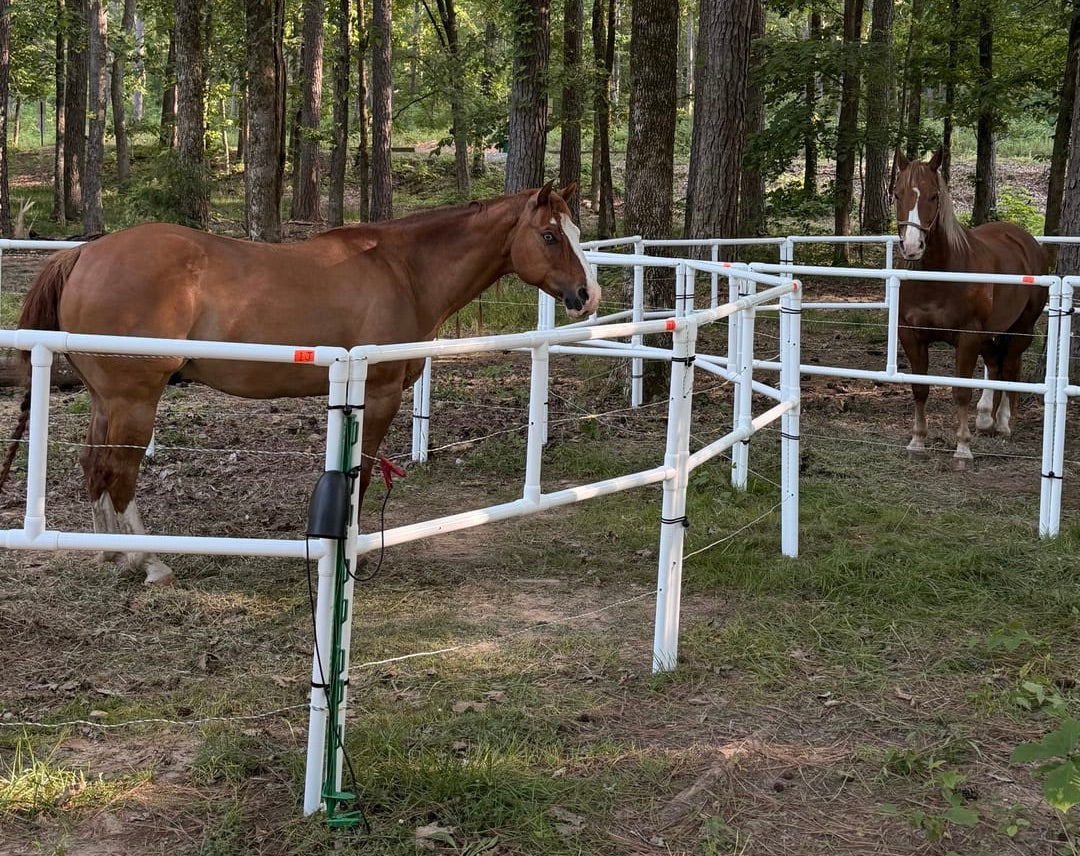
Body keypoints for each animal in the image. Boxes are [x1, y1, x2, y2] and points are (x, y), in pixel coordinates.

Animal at [0, 182, 600, 584]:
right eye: (549, 235)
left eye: (573, 232)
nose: (586, 296)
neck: (403, 269)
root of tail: (84, 252)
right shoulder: (378, 394)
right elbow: (360, 476)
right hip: (133, 400)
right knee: (119, 473)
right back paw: (150, 564)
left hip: (107, 400)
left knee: (94, 466)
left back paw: (110, 552)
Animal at [893, 148, 1048, 469]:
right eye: (898, 194)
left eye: (934, 196)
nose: (912, 247)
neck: (939, 277)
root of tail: (1024, 239)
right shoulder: (911, 334)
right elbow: (920, 388)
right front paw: (917, 441)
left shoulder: (967, 336)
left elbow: (961, 391)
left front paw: (963, 448)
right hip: (990, 334)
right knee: (995, 364)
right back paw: (986, 418)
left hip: (1021, 329)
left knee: (1010, 365)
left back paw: (1003, 422)